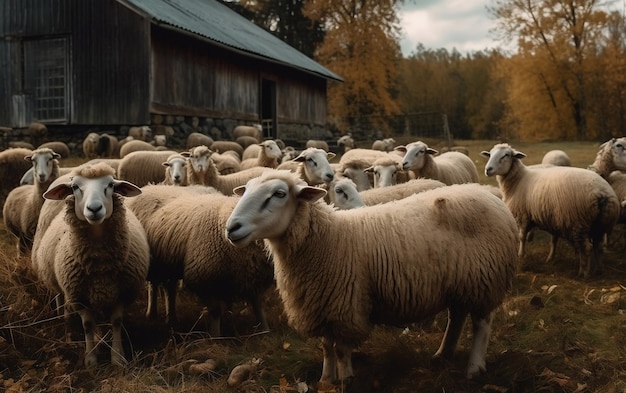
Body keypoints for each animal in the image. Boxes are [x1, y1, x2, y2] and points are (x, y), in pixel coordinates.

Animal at [30, 161, 150, 366]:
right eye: (75, 187)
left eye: (110, 185)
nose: (94, 208)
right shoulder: (78, 295)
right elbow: (87, 325)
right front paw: (91, 359)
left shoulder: (122, 293)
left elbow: (116, 322)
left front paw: (117, 358)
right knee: (60, 297)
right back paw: (65, 318)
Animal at [127, 185, 272, 332]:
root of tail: (150, 186)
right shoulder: (206, 278)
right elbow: (215, 311)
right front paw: (215, 334)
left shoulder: (253, 276)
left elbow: (257, 306)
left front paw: (264, 330)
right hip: (154, 263)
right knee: (153, 285)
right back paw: (151, 314)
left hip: (169, 262)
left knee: (170, 289)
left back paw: (171, 319)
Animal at [224, 169, 516, 382]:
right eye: (246, 190)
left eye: (279, 193)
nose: (231, 228)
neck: (327, 239)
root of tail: (491, 197)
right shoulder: (322, 305)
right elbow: (326, 346)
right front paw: (326, 380)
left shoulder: (345, 304)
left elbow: (341, 349)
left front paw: (346, 379)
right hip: (461, 281)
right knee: (456, 317)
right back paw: (442, 354)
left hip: (483, 278)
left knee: (482, 324)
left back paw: (474, 368)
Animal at [478, 142, 620, 278]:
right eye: (490, 154)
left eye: (506, 155)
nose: (487, 170)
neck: (518, 180)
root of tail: (602, 193)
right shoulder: (555, 217)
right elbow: (553, 239)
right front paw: (550, 258)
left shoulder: (523, 215)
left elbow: (522, 237)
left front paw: (521, 255)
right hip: (600, 224)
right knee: (597, 245)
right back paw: (599, 269)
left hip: (580, 222)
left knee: (587, 247)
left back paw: (584, 273)